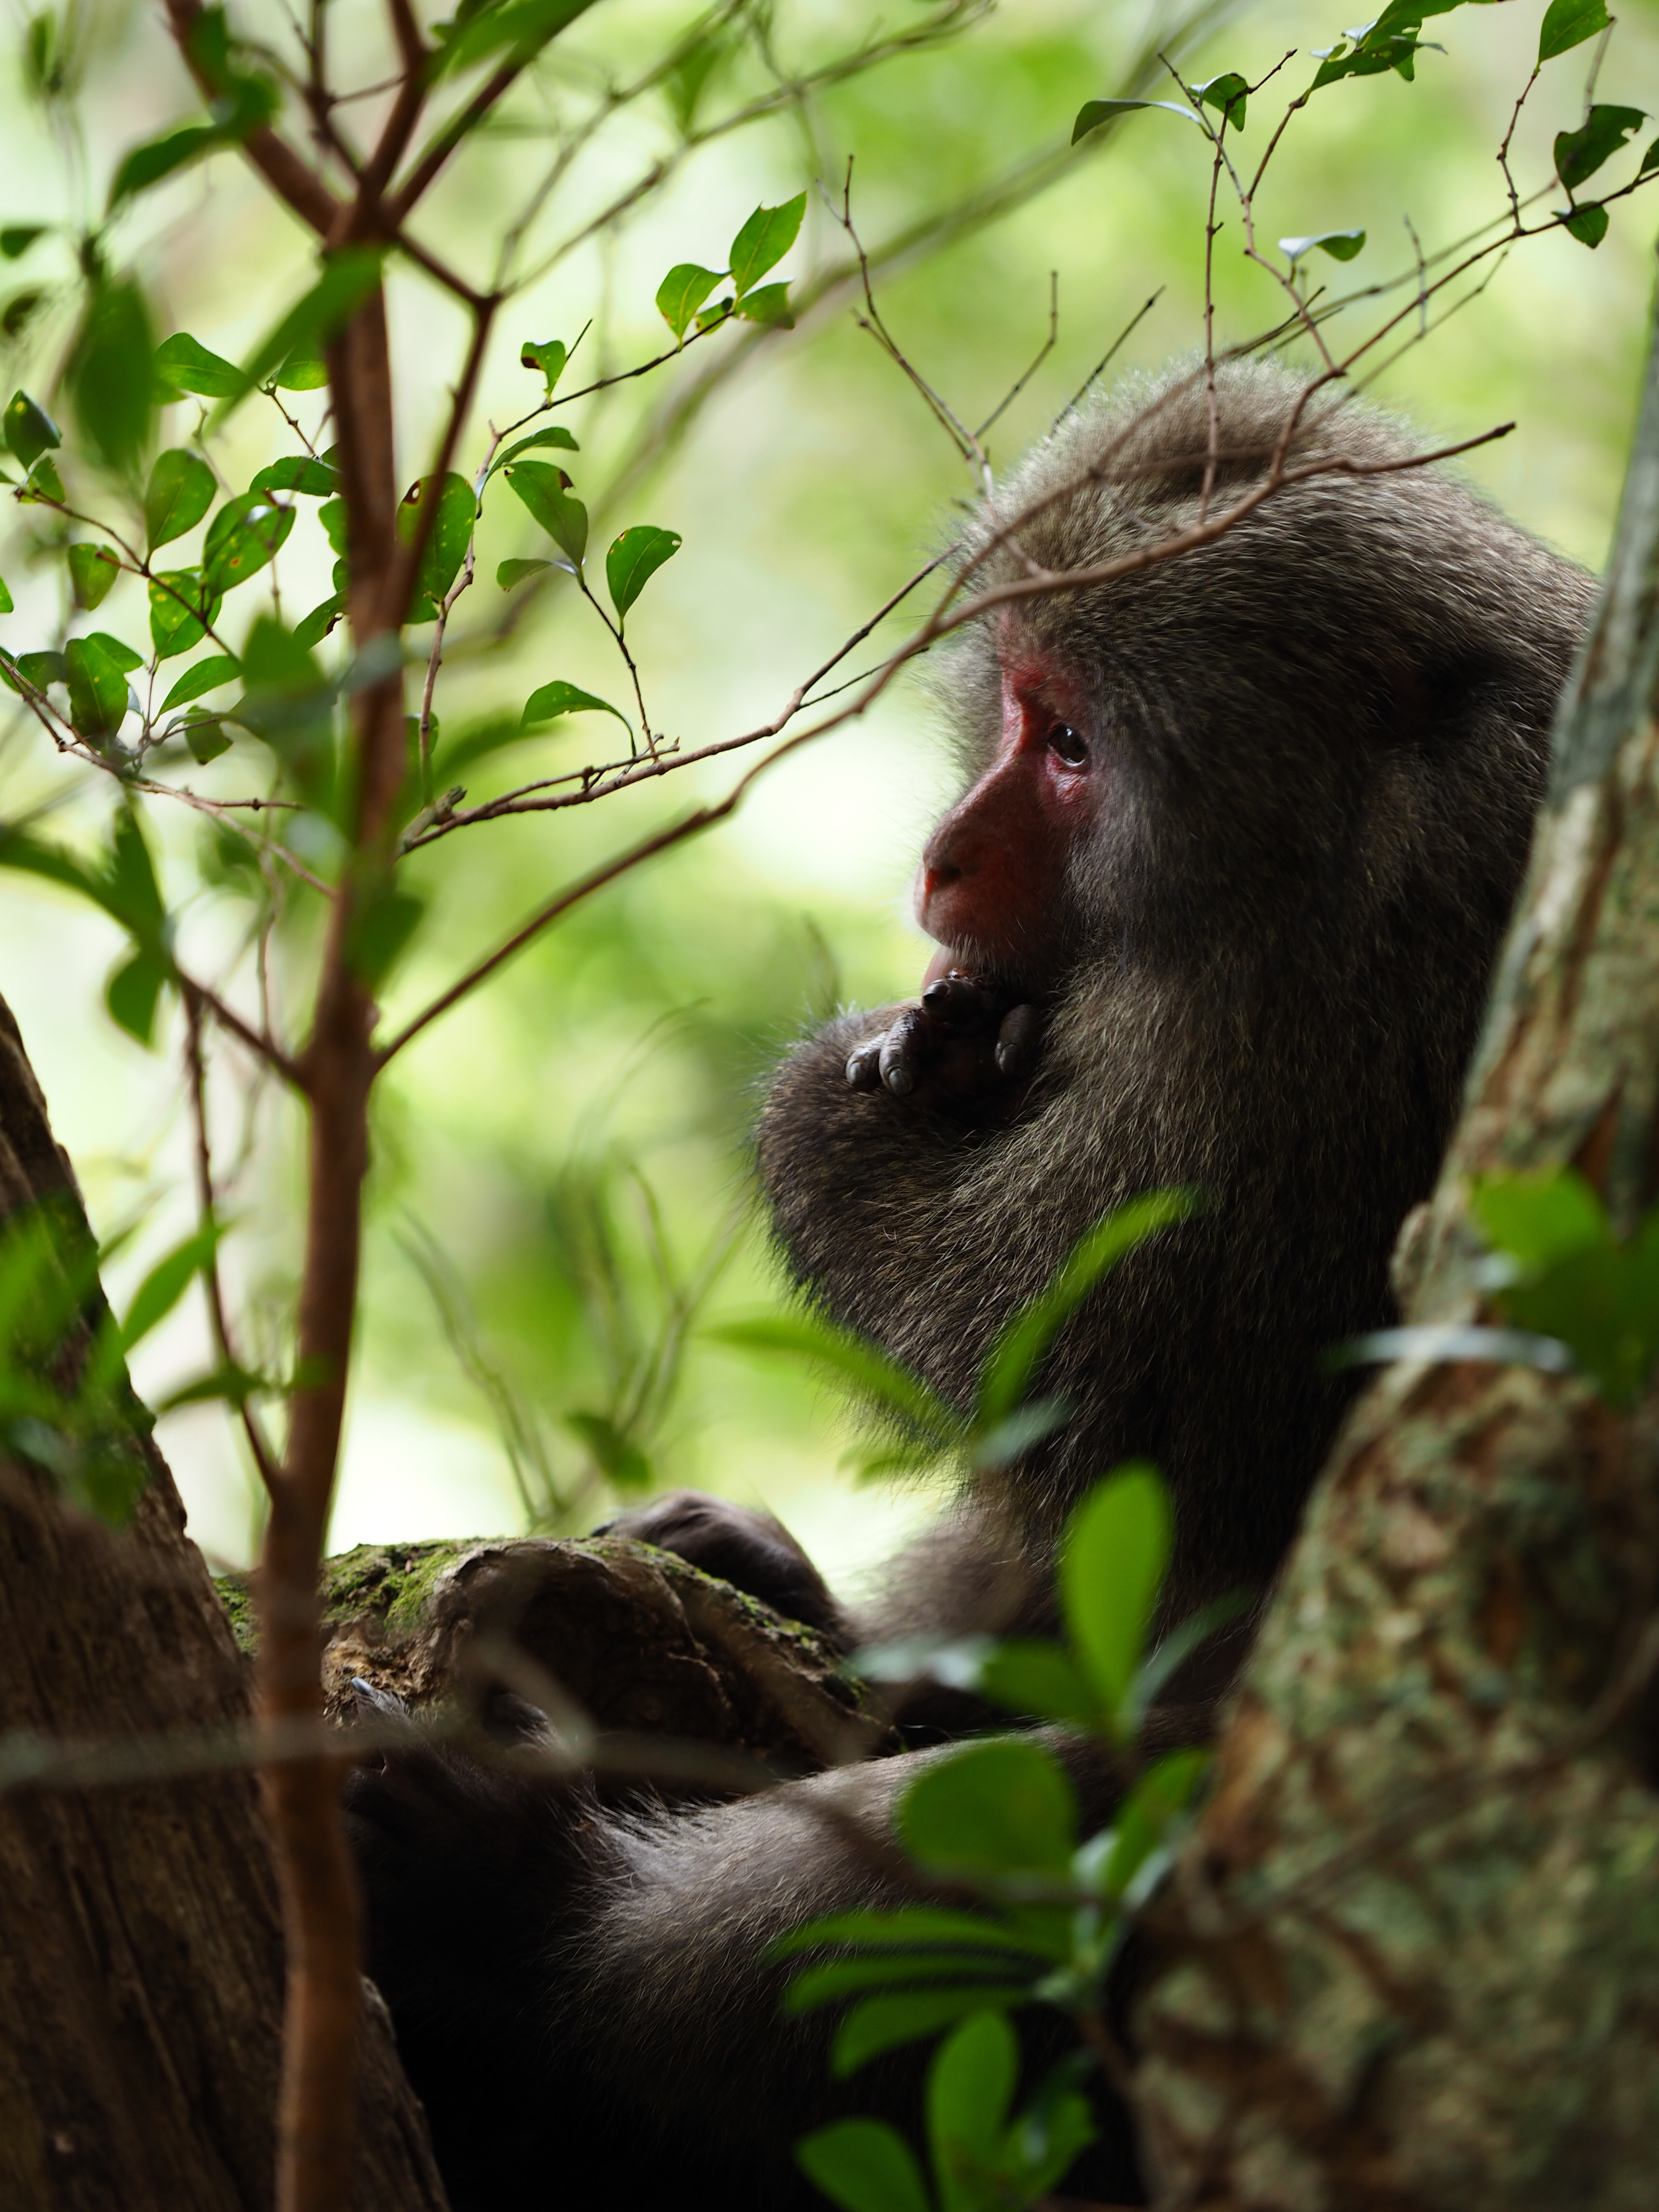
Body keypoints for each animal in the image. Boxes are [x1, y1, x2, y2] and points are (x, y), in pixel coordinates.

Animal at [345, 354, 1601, 2203]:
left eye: (1073, 746)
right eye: (1013, 702)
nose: (942, 855)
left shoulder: (1331, 997)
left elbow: (1095, 1360)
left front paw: (847, 1094)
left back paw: (531, 1938)